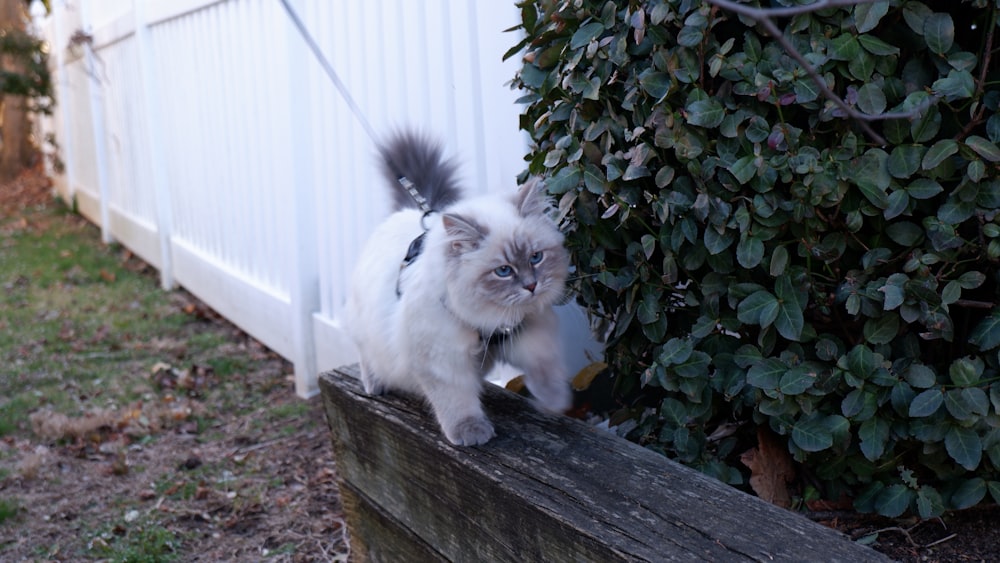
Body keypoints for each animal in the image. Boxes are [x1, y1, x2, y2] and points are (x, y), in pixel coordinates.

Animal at [346, 132, 572, 446]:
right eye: (504, 271)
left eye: (535, 257)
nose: (531, 286)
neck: (488, 319)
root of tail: (403, 213)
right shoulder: (440, 361)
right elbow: (457, 402)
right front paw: (471, 433)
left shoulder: (528, 328)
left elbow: (544, 363)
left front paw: (553, 401)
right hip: (368, 334)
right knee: (368, 357)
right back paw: (374, 385)